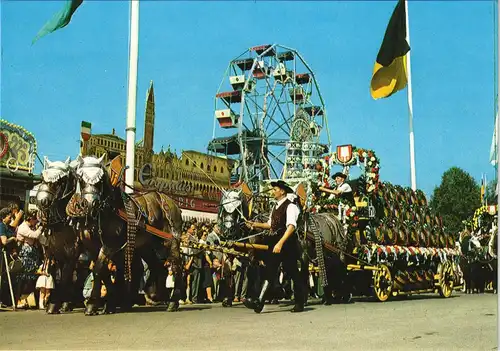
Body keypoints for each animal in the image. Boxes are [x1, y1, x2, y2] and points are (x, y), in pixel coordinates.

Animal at [35, 157, 80, 314]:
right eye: (42, 178)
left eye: (61, 180)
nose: (42, 201)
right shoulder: (57, 253)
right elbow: (60, 277)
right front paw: (59, 304)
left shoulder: (72, 254)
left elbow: (66, 277)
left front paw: (57, 303)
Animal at [66, 155, 184, 314]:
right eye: (81, 178)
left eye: (100, 180)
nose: (90, 205)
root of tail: (171, 202)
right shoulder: (91, 246)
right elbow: (102, 271)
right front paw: (109, 301)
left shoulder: (109, 245)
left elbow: (98, 270)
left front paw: (92, 304)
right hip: (147, 244)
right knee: (156, 265)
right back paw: (155, 294)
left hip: (170, 239)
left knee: (175, 264)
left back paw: (172, 300)